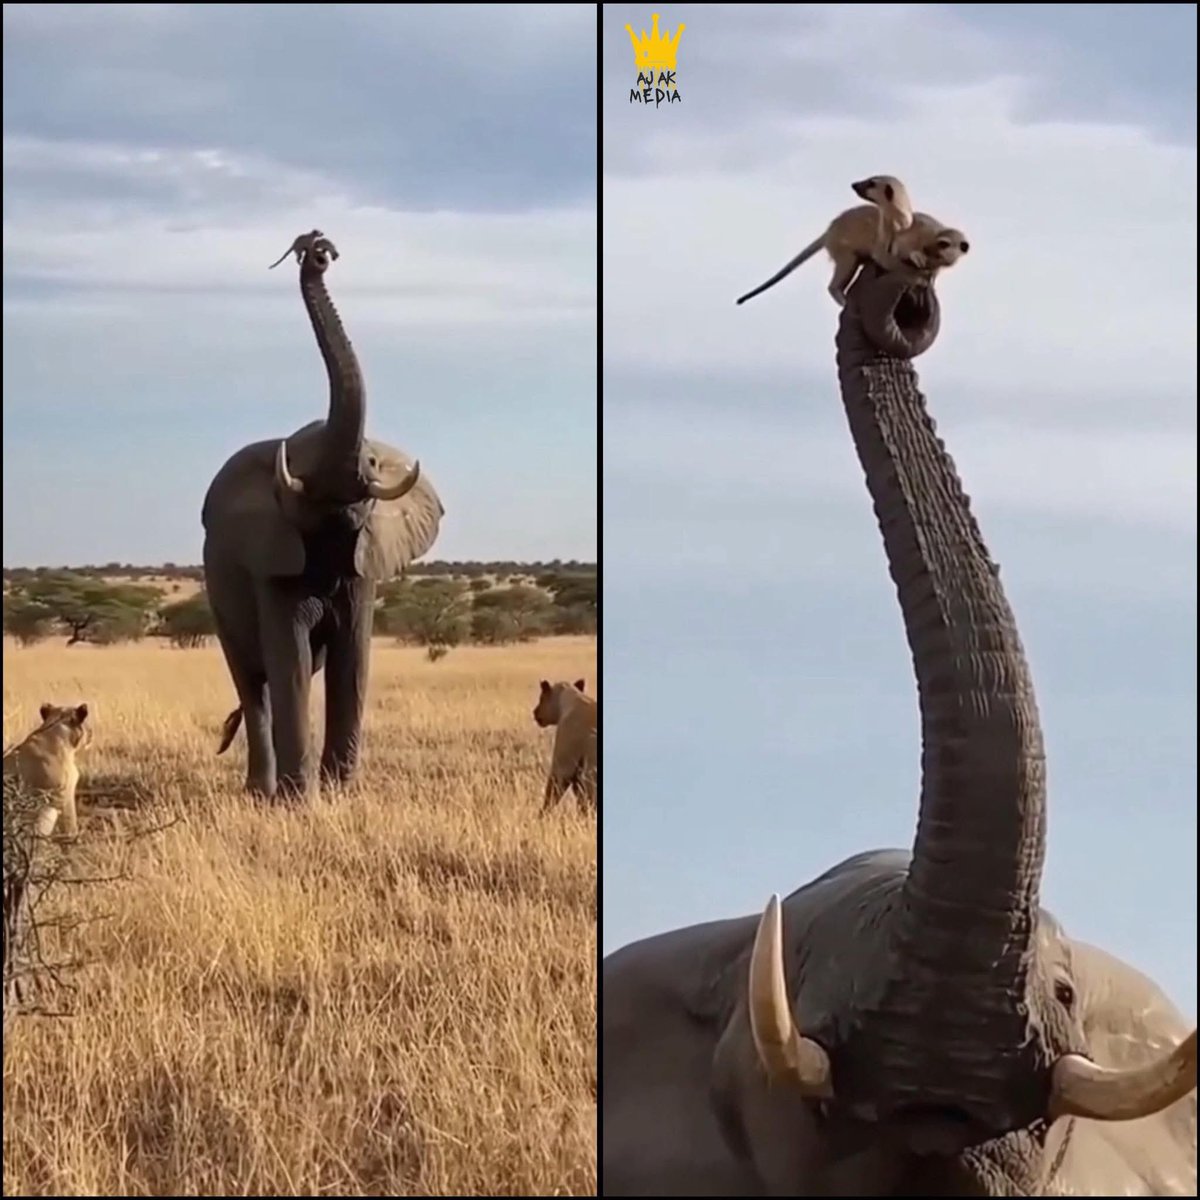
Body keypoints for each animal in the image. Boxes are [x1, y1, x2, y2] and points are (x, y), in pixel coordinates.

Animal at [202, 231, 444, 800]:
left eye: (372, 463)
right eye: (299, 464)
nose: (316, 249)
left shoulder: (363, 564)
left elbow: (352, 662)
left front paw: (341, 794)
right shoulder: (271, 563)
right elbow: (287, 661)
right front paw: (301, 803)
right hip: (218, 592)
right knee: (254, 681)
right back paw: (261, 794)